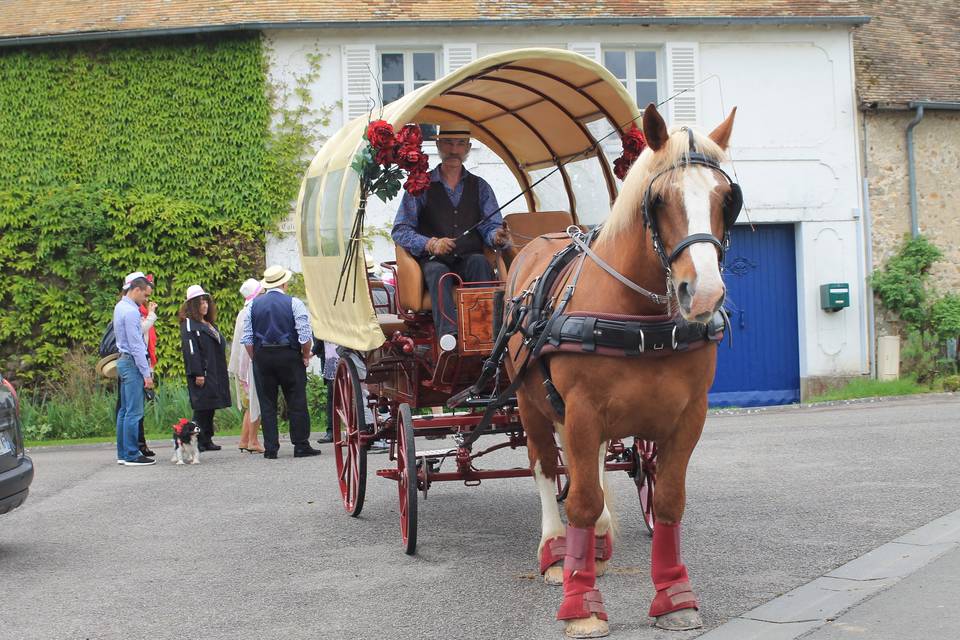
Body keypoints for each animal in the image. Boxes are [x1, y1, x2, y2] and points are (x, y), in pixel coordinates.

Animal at [506, 102, 740, 636]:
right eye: (659, 199)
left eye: (726, 199)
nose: (704, 294)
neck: (641, 318)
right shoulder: (581, 411)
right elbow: (580, 500)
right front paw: (581, 604)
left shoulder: (688, 416)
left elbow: (668, 499)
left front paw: (675, 596)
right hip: (531, 404)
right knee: (545, 467)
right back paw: (556, 553)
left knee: (587, 466)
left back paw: (597, 543)